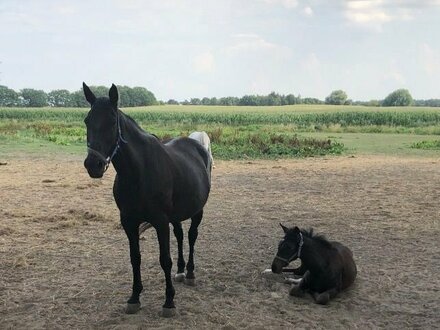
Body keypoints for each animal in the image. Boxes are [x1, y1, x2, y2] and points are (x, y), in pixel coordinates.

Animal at [84, 82, 213, 318]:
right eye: (87, 120)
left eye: (112, 121)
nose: (93, 165)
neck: (138, 172)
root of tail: (197, 145)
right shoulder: (129, 221)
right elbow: (135, 258)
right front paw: (134, 297)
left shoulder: (160, 221)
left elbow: (164, 259)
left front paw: (169, 302)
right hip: (175, 215)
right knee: (180, 235)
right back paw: (180, 271)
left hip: (197, 211)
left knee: (191, 236)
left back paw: (190, 273)